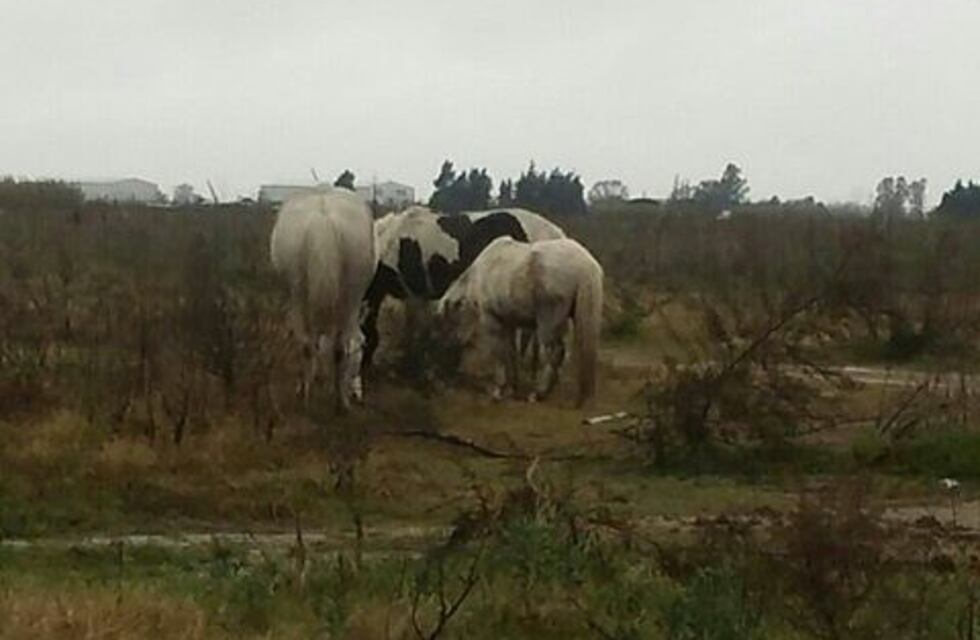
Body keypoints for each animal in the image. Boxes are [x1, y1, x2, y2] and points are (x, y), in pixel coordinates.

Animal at [269, 188, 376, 414]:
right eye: (363, 347)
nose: (358, 394)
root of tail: (323, 219)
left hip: (299, 295)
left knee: (309, 345)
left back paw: (309, 398)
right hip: (347, 299)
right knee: (336, 347)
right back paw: (339, 401)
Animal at [361, 205, 566, 374]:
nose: (365, 369)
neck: (391, 244)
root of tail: (556, 233)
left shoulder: (416, 295)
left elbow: (414, 330)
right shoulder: (420, 298)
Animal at [437, 236, 604, 407]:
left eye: (448, 322)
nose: (445, 368)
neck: (479, 276)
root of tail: (585, 266)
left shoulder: (493, 322)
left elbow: (499, 353)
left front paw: (498, 389)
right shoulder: (510, 323)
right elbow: (511, 352)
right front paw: (512, 387)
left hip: (548, 324)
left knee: (555, 352)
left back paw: (538, 393)